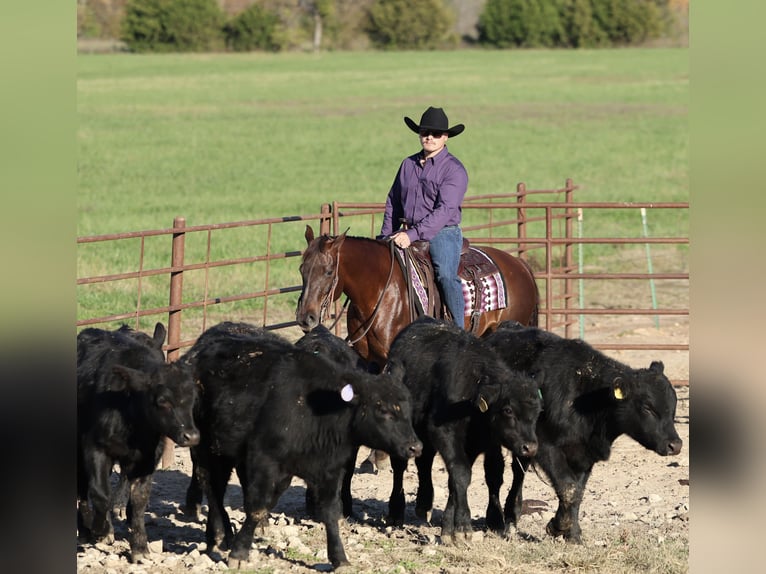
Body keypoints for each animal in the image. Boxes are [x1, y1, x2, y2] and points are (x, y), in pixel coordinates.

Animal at [295, 225, 540, 373]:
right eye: (301, 269)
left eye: (328, 272)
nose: (305, 317)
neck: (380, 294)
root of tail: (520, 265)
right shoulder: (369, 361)